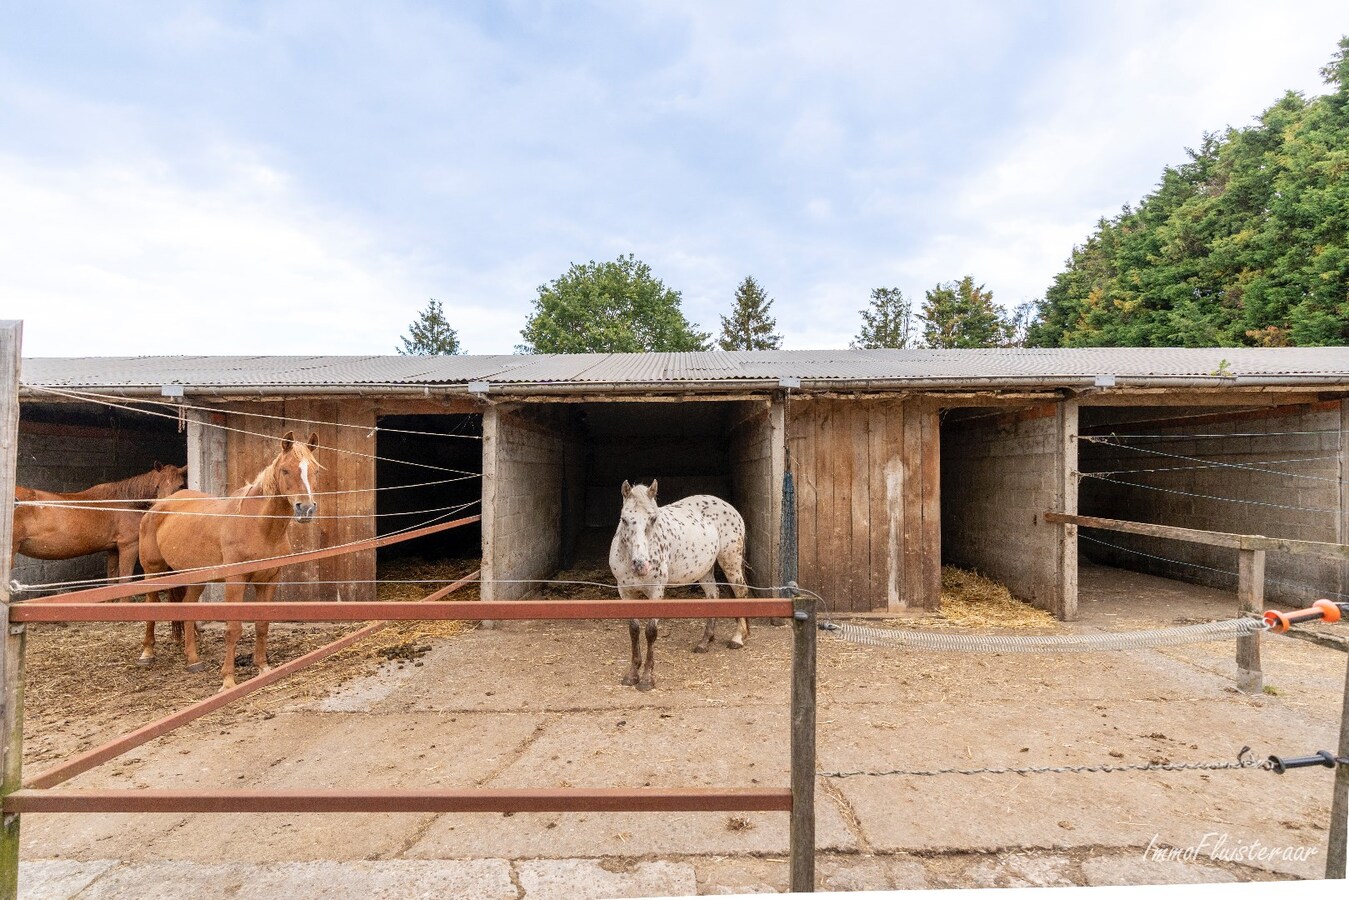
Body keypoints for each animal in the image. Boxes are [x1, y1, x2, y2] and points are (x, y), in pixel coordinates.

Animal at [11, 464, 187, 585]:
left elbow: (112, 580)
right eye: (157, 486)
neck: (125, 501)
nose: (165, 509)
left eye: (181, 486)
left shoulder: (113, 549)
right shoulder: (128, 546)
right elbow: (125, 580)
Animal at [138, 431, 321, 696]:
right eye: (285, 470)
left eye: (315, 470)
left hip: (196, 577)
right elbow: (233, 629)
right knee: (151, 606)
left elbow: (262, 624)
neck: (257, 524)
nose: (305, 508)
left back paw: (193, 660)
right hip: (153, 572)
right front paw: (228, 680)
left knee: (187, 607)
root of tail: (158, 507)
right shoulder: (236, 580)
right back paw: (147, 653)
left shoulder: (270, 579)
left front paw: (263, 667)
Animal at [609, 483, 750, 696]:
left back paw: (737, 638)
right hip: (705, 569)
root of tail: (728, 506)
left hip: (730, 561)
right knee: (713, 596)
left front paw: (647, 680)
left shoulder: (656, 591)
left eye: (653, 518)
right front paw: (631, 676)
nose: (641, 565)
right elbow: (633, 630)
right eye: (624, 519)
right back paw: (704, 642)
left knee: (741, 593)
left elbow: (650, 631)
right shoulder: (625, 592)